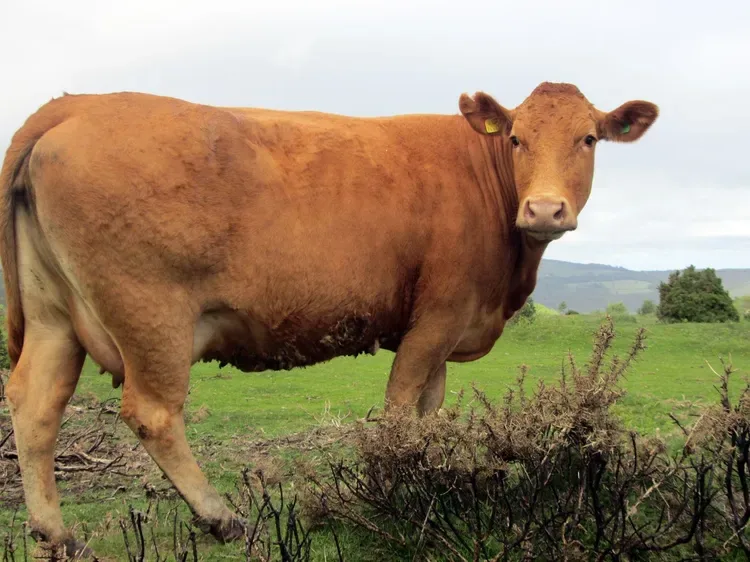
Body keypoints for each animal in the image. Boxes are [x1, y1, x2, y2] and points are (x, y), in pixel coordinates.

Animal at [0, 82, 658, 556]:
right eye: (517, 138)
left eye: (589, 139)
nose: (544, 209)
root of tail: (79, 104)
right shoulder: (435, 321)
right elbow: (400, 410)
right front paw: (397, 493)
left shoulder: (444, 334)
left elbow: (426, 413)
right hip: (151, 314)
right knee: (153, 413)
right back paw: (222, 517)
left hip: (53, 314)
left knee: (35, 402)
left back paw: (56, 533)